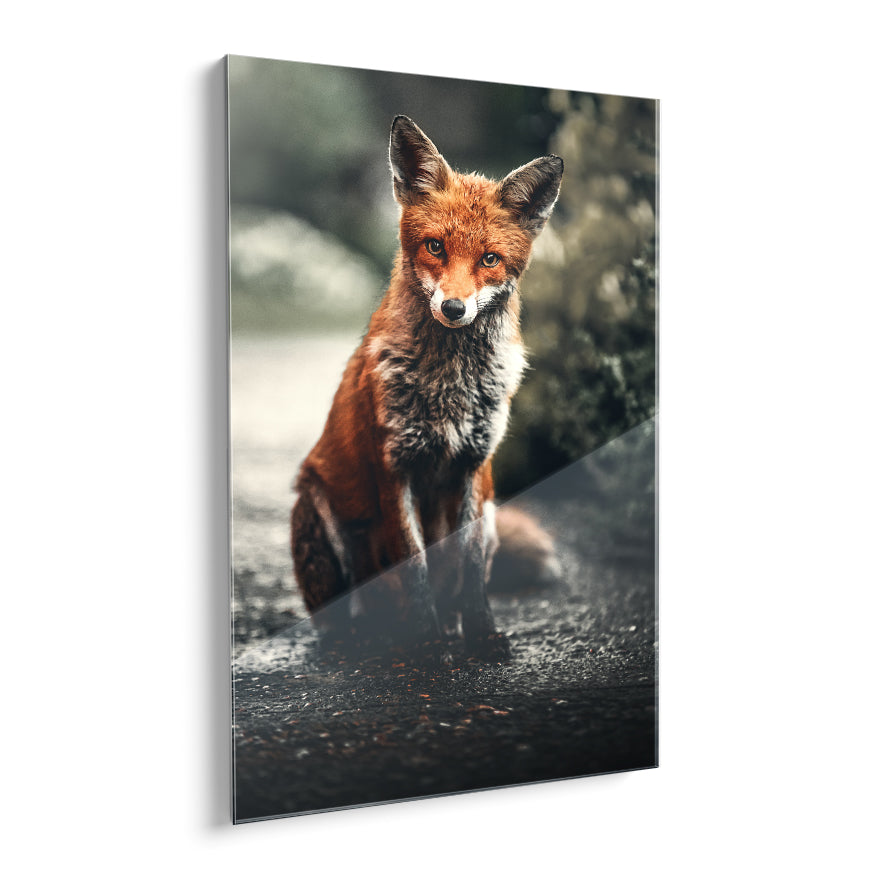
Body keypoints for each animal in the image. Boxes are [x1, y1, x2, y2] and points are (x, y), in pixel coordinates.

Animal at [291, 115, 563, 663]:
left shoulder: (475, 467)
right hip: (316, 510)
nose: (454, 308)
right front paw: (430, 645)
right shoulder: (394, 468)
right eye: (435, 246)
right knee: (343, 619)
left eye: (490, 259)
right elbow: (414, 565)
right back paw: (368, 640)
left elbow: (470, 569)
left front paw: (479, 633)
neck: (450, 385)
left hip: (492, 512)